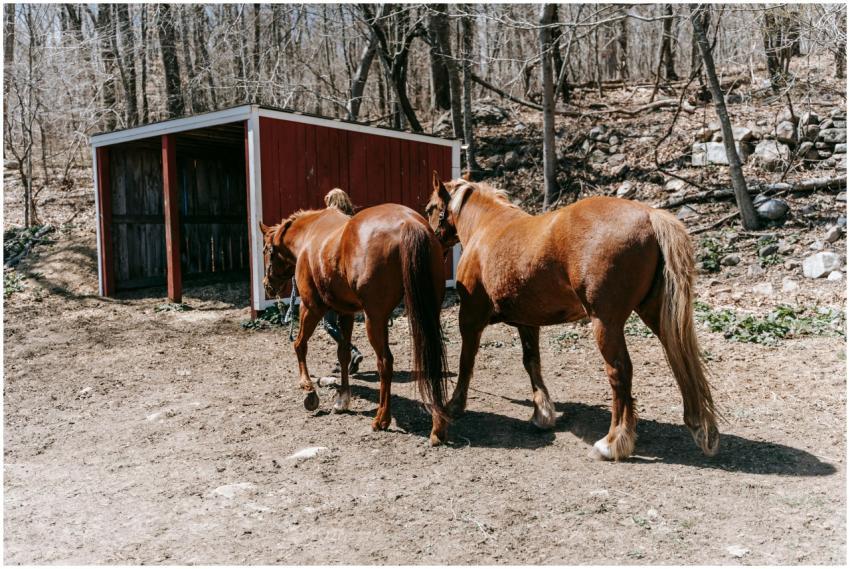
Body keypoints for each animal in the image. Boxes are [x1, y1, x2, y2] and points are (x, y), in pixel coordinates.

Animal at [260, 189, 449, 443]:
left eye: (265, 251)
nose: (267, 286)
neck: (309, 235)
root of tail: (410, 223)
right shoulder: (346, 312)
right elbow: (343, 353)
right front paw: (343, 399)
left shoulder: (311, 307)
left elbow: (300, 345)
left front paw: (308, 389)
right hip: (427, 313)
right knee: (431, 357)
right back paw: (438, 426)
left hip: (375, 319)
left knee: (385, 362)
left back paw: (382, 419)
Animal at [424, 173, 720, 460]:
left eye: (430, 208)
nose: (432, 240)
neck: (487, 228)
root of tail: (650, 214)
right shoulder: (527, 321)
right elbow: (531, 362)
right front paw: (542, 413)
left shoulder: (470, 318)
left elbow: (466, 361)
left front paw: (454, 405)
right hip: (656, 315)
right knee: (680, 359)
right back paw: (699, 428)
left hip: (606, 324)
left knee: (620, 372)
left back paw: (612, 442)